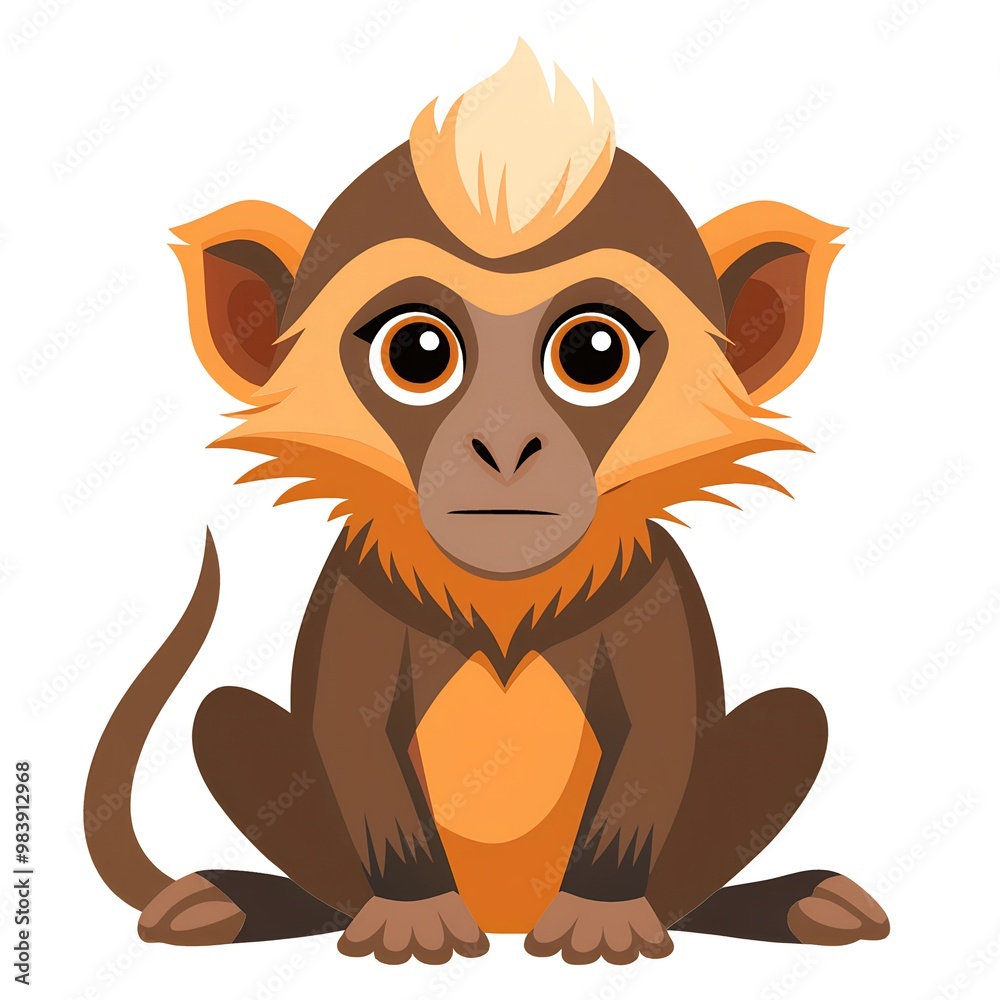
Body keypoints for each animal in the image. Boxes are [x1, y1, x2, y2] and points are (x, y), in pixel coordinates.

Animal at [84, 41, 889, 965]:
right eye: (418, 351)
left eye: (593, 350)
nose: (505, 445)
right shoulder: (359, 585)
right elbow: (349, 731)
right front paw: (412, 910)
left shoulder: (651, 589)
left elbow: (660, 733)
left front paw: (606, 910)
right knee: (225, 723)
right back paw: (237, 902)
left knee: (787, 731)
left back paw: (792, 902)